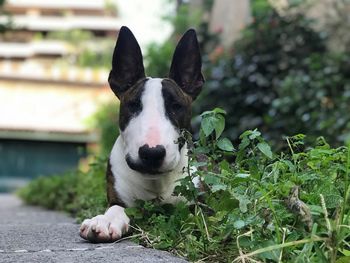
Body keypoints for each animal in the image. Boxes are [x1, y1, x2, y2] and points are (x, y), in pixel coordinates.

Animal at [79, 26, 205, 243]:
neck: (156, 183)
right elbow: (116, 209)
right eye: (133, 105)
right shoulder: (118, 196)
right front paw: (104, 221)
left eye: (176, 106)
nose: (152, 153)